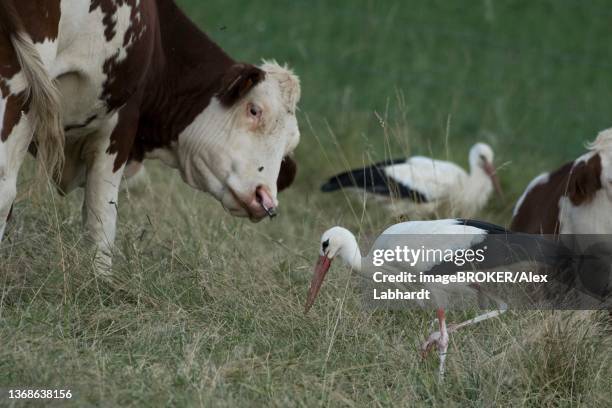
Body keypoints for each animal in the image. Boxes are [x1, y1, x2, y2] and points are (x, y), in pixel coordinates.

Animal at [0, 0, 302, 274]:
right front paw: (100, 282)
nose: (266, 199)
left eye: (288, 147)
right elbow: (102, 217)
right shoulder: (121, 125)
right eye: (254, 110)